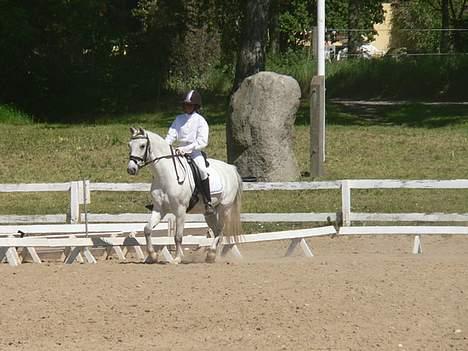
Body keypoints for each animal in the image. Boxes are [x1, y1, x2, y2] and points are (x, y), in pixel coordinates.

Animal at [125, 127, 241, 264]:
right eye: (129, 145)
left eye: (142, 145)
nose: (131, 169)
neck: (165, 176)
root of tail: (231, 168)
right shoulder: (159, 209)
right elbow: (147, 229)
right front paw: (152, 256)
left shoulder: (180, 210)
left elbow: (178, 236)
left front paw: (177, 258)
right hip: (209, 213)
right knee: (218, 231)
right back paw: (211, 256)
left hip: (224, 208)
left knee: (221, 230)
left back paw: (211, 253)